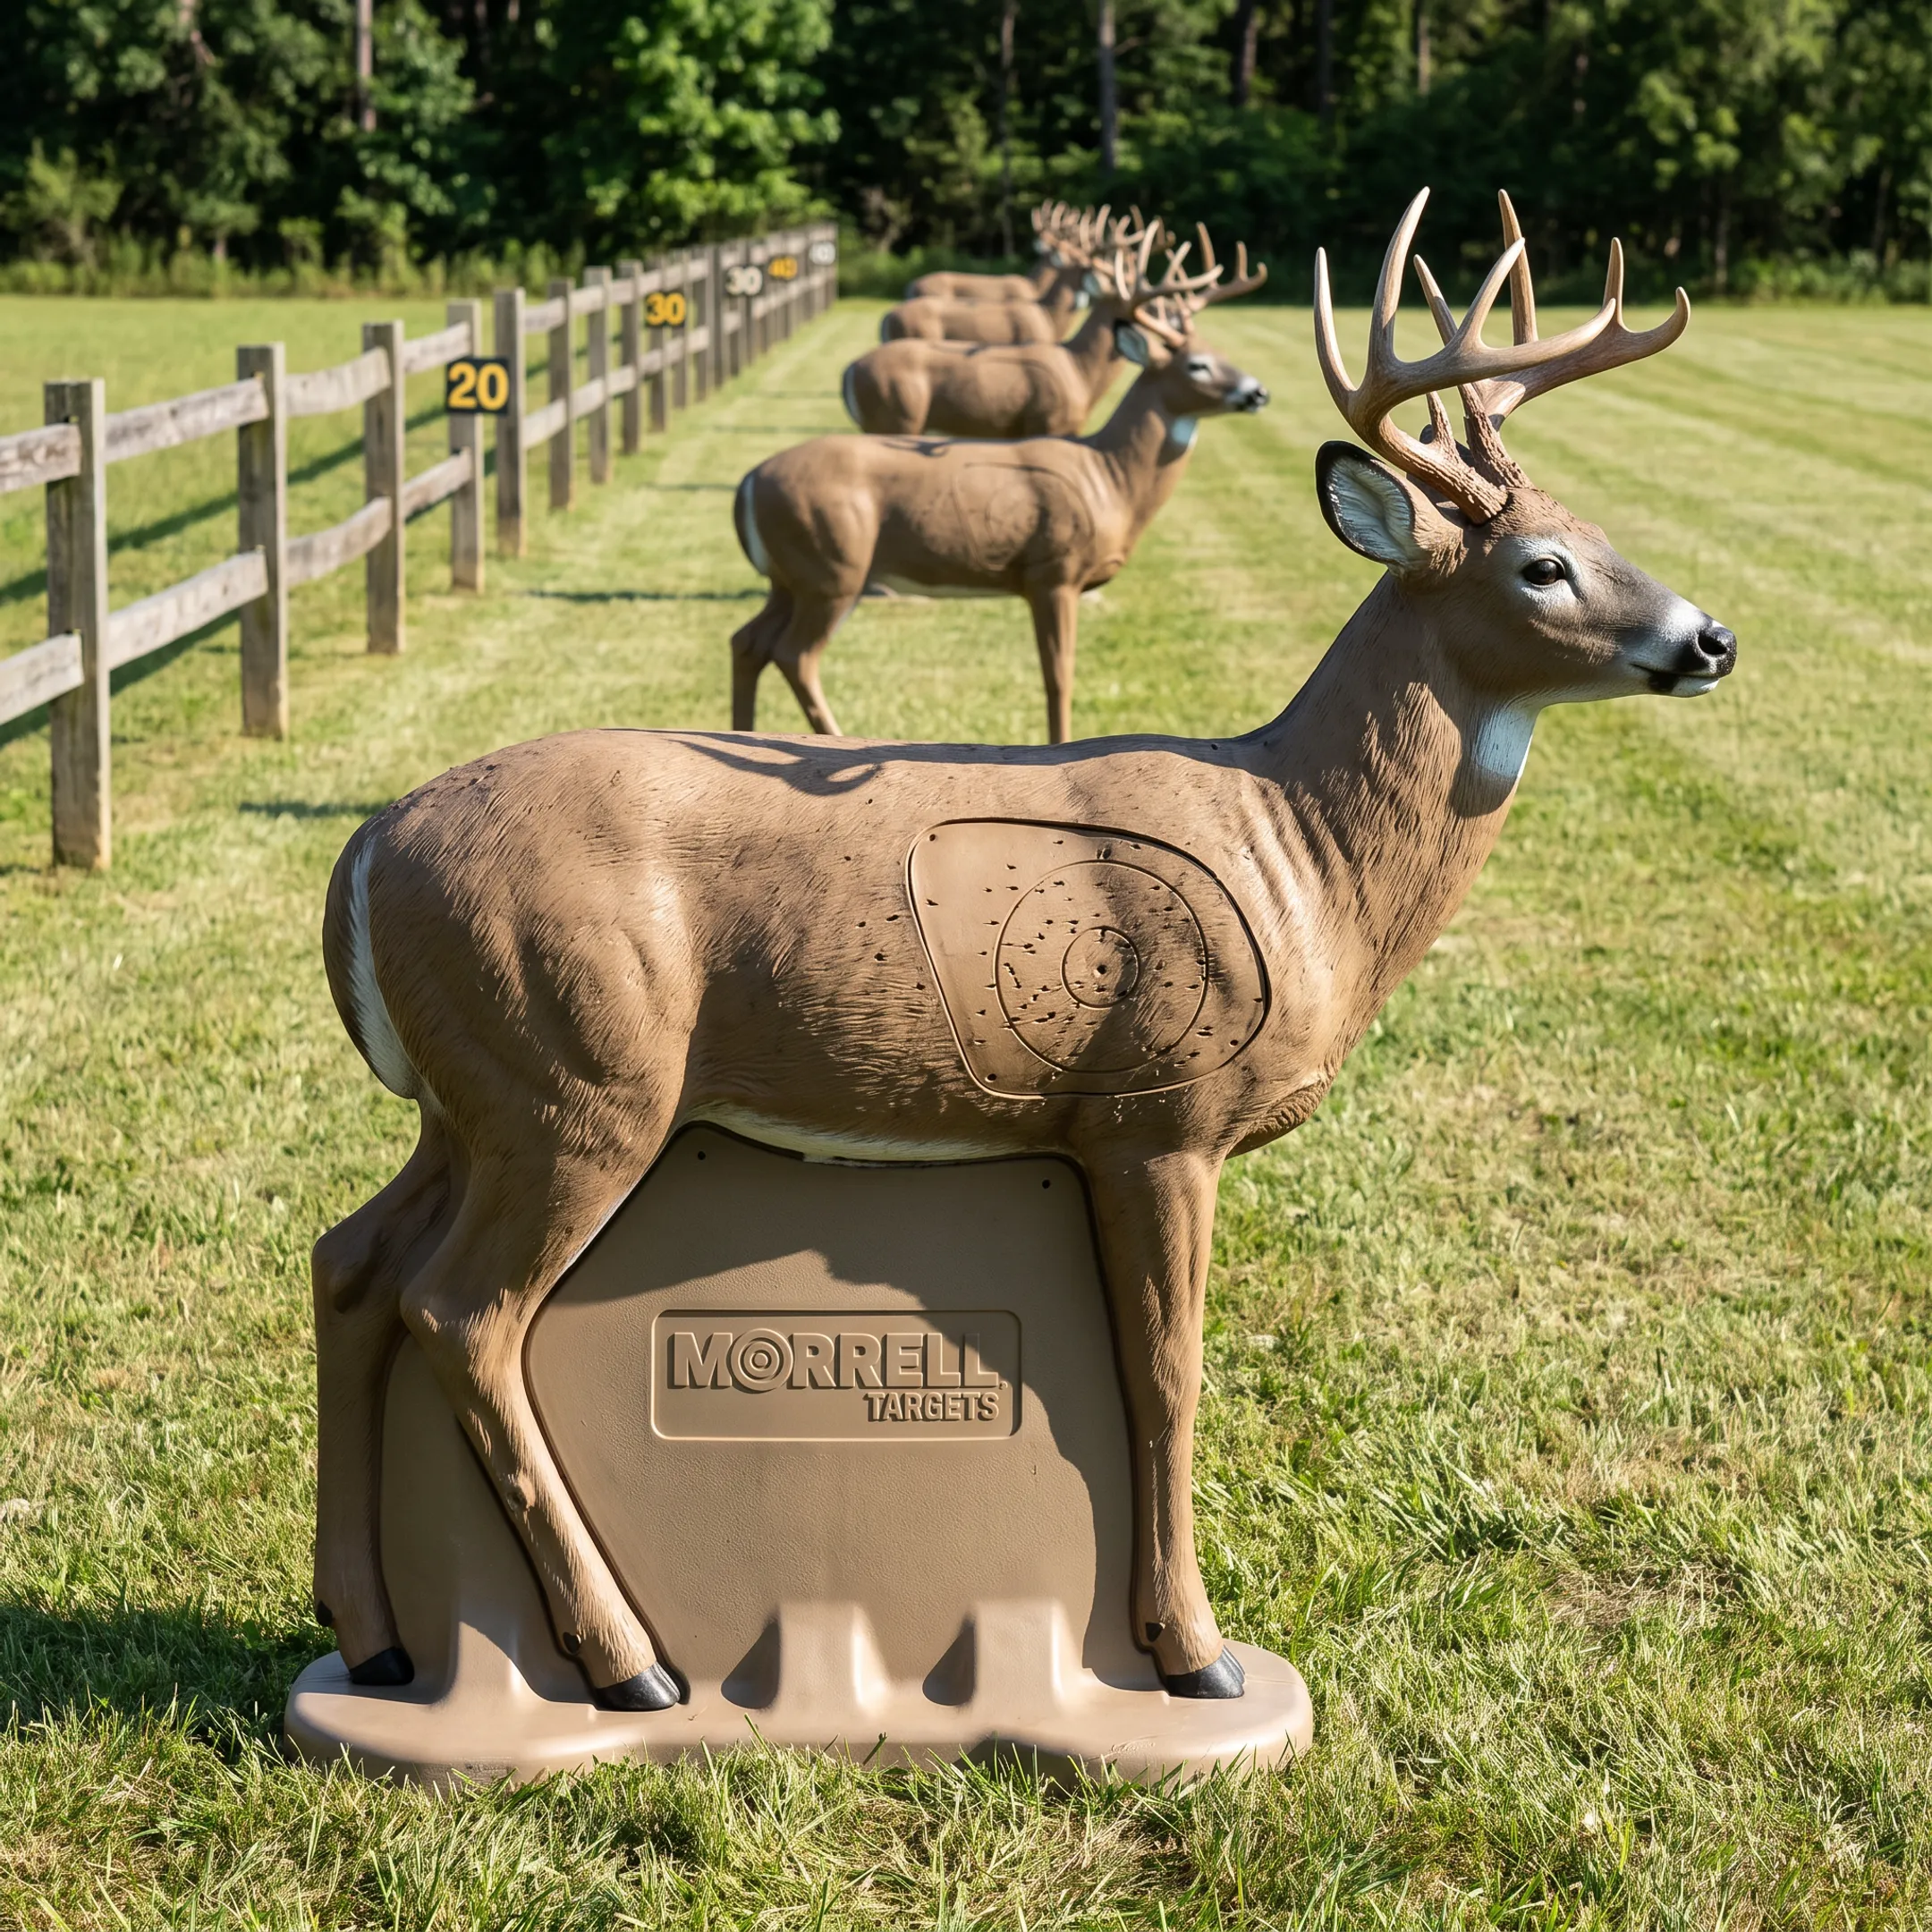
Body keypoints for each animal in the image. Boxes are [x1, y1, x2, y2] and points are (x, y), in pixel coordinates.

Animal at [841, 222, 1261, 440]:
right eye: (1157, 306)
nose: (1179, 315)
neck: (1079, 371)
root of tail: (849, 371)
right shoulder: (1049, 423)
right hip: (895, 417)